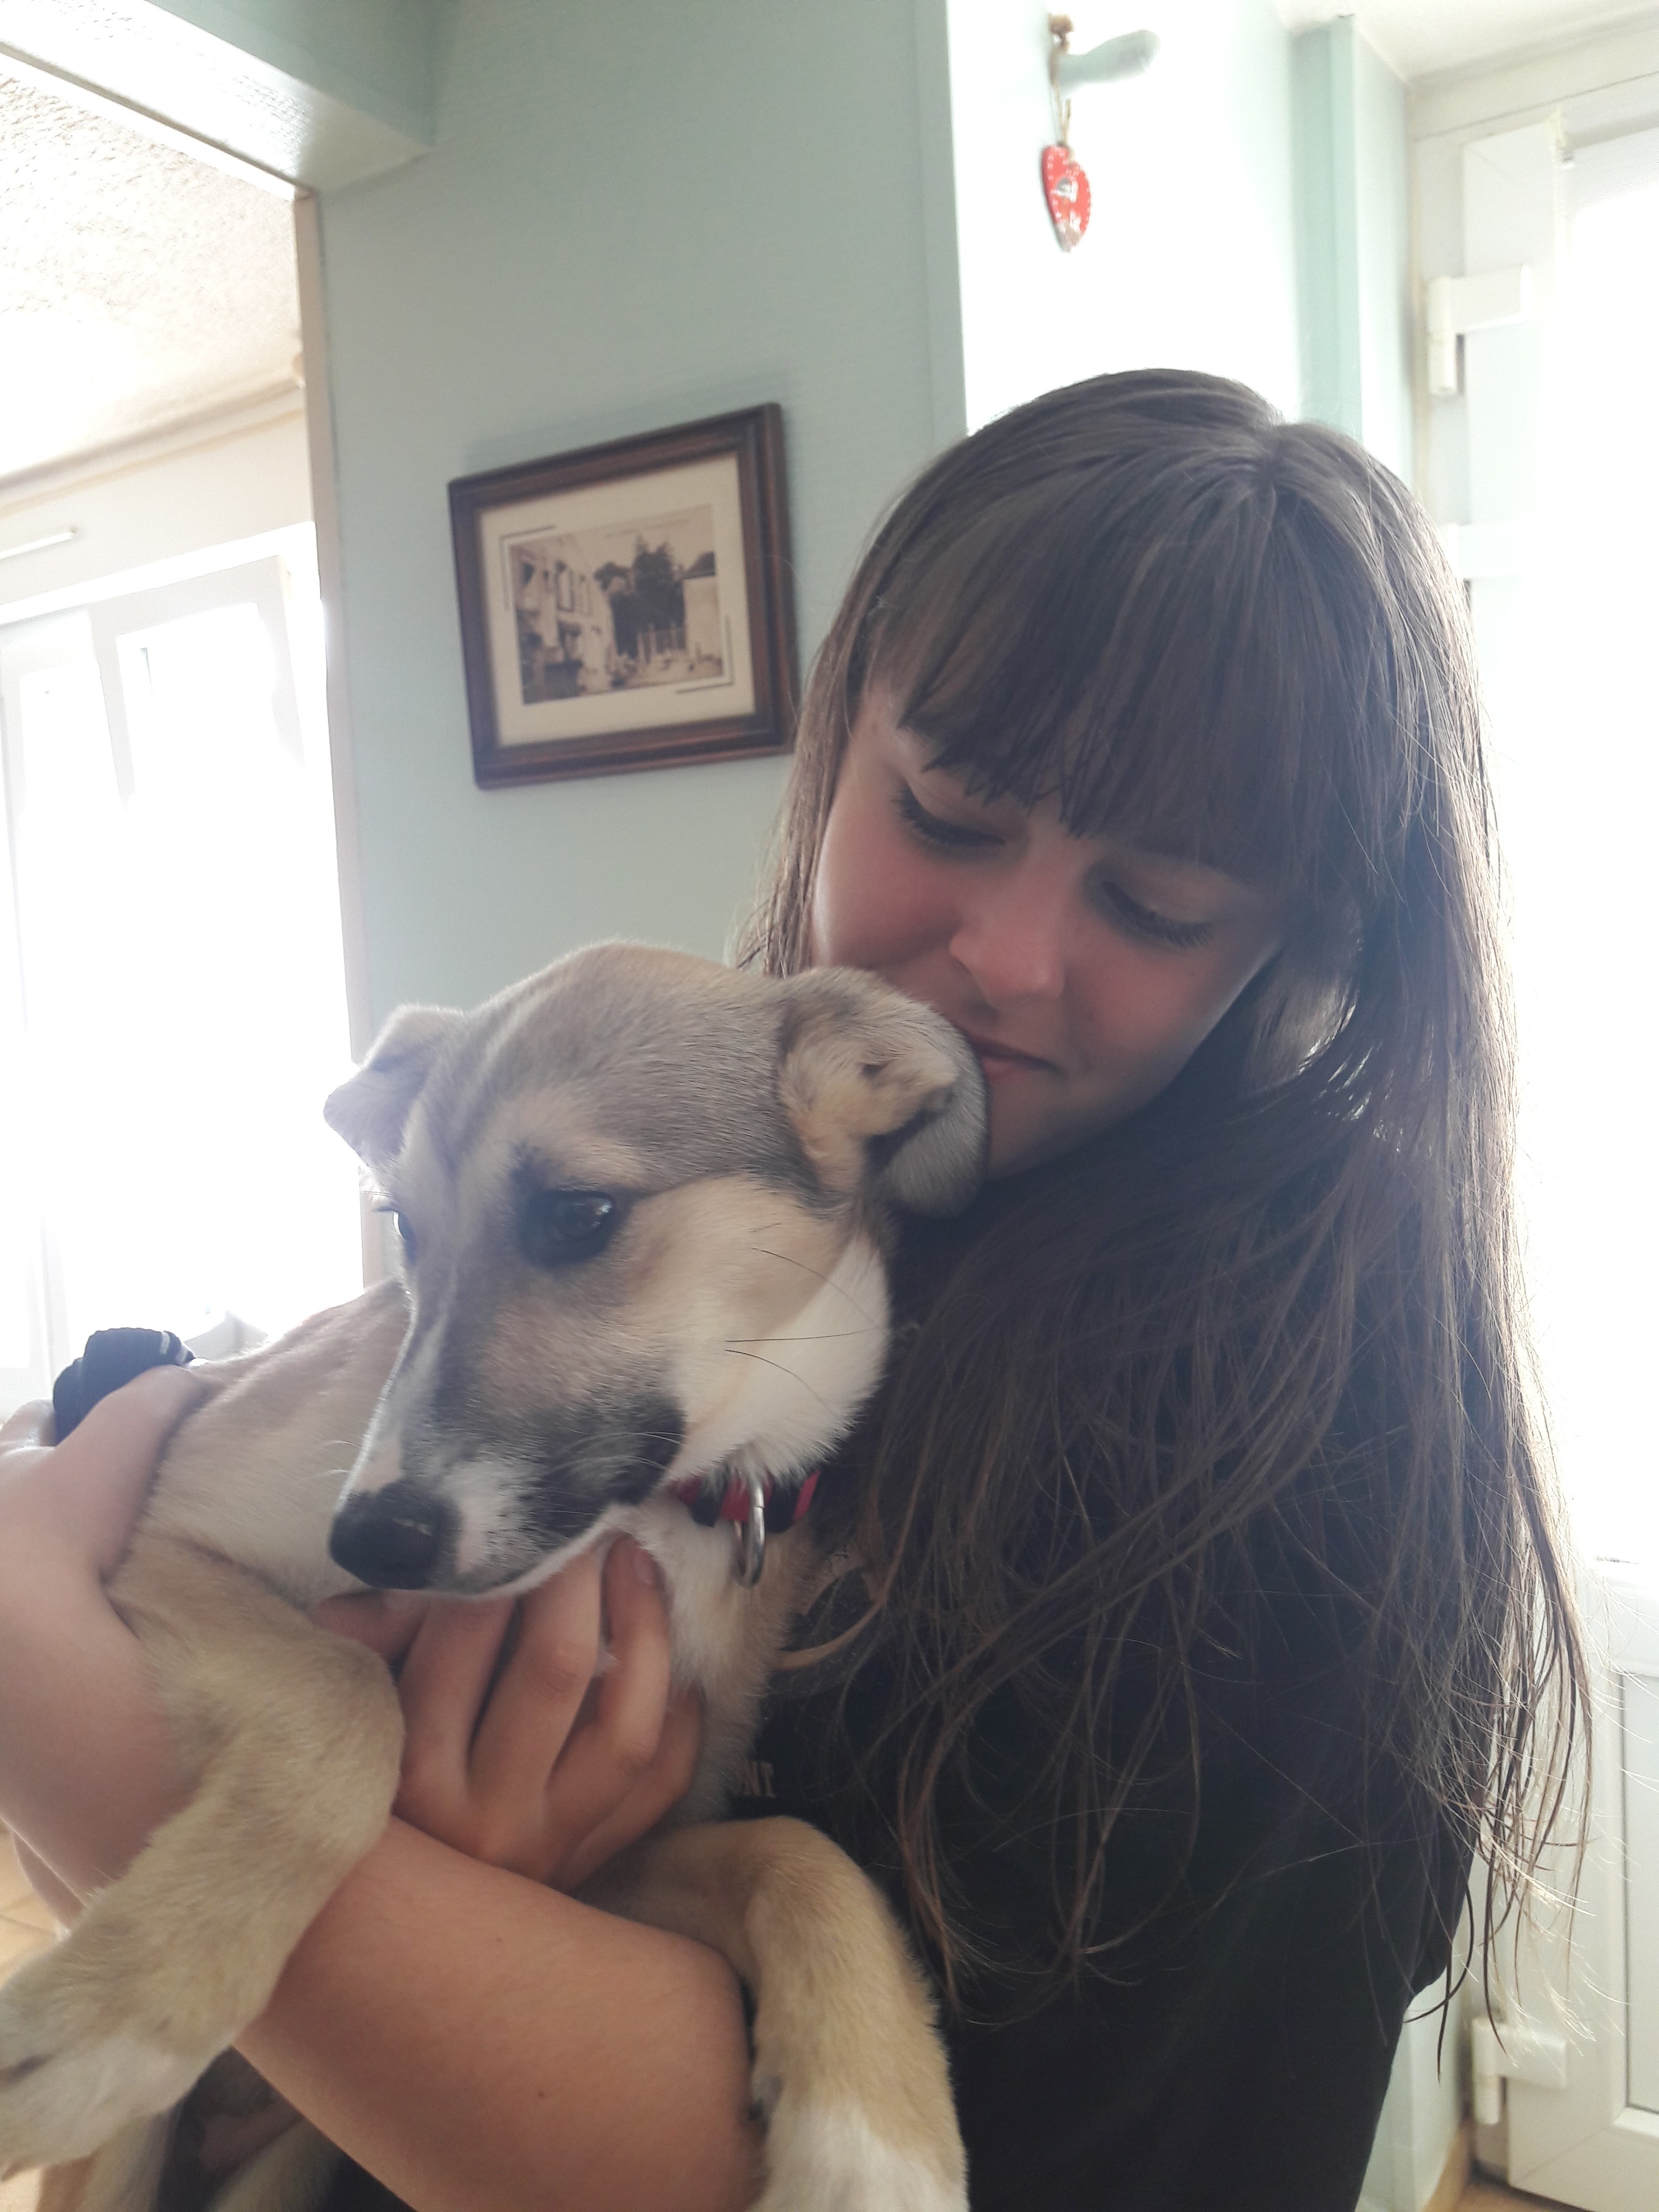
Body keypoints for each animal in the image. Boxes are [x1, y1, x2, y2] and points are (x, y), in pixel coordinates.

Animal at [0, 944, 984, 2212]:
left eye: (578, 1214)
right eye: (401, 1224)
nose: (367, 1540)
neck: (649, 1516)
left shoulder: (590, 1860)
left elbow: (805, 1853)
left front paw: (877, 2140)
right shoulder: (170, 1538)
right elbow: (345, 1705)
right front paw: (121, 2014)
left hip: (289, 2155)